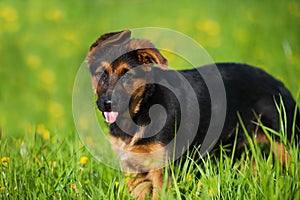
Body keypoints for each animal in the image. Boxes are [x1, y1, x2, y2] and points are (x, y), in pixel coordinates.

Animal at [85, 30, 298, 200]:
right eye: (102, 74)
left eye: (127, 75)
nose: (107, 103)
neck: (141, 110)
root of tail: (278, 83)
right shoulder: (134, 170)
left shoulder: (162, 170)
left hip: (285, 143)